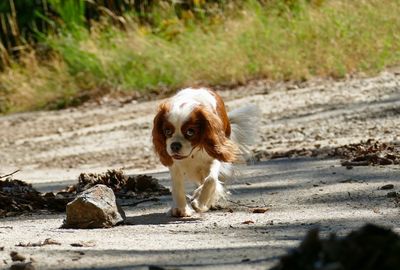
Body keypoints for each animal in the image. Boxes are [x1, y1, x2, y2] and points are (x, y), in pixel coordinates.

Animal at [151, 88, 260, 217]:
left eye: (190, 132)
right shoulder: (175, 165)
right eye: (167, 131)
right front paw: (181, 208)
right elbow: (177, 186)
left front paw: (200, 202)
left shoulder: (215, 157)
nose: (175, 145)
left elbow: (211, 180)